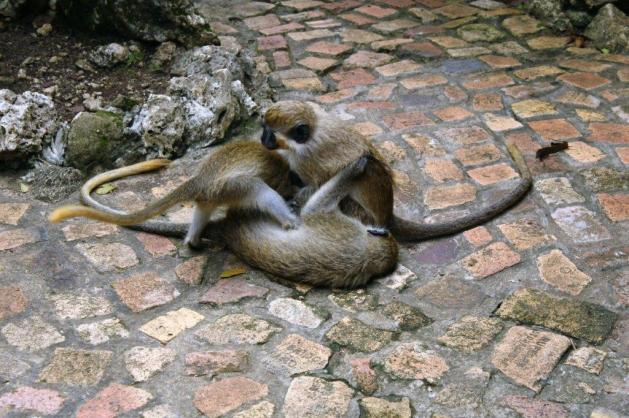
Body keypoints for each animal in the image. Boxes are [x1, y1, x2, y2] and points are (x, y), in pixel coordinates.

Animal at [48, 141, 299, 248]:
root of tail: (199, 179)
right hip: (232, 186)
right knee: (260, 190)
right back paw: (289, 221)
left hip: (211, 195)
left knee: (202, 211)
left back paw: (193, 241)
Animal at [55, 150, 399, 288]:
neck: (373, 257)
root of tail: (226, 230)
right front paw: (359, 164)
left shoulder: (340, 228)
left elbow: (313, 210)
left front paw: (356, 167)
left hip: (236, 199)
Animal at [261, 100, 532, 242]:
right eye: (263, 127)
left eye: (270, 133)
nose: (263, 138)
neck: (312, 131)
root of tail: (388, 213)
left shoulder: (306, 158)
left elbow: (316, 184)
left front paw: (294, 200)